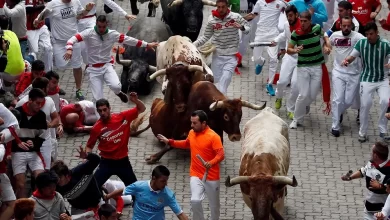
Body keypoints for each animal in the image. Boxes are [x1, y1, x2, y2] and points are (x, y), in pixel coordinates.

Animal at [131, 81, 266, 163]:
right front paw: (154, 157)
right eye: (226, 116)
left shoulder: (218, 131)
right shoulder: (180, 127)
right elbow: (170, 144)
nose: (236, 136)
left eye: (240, 115)